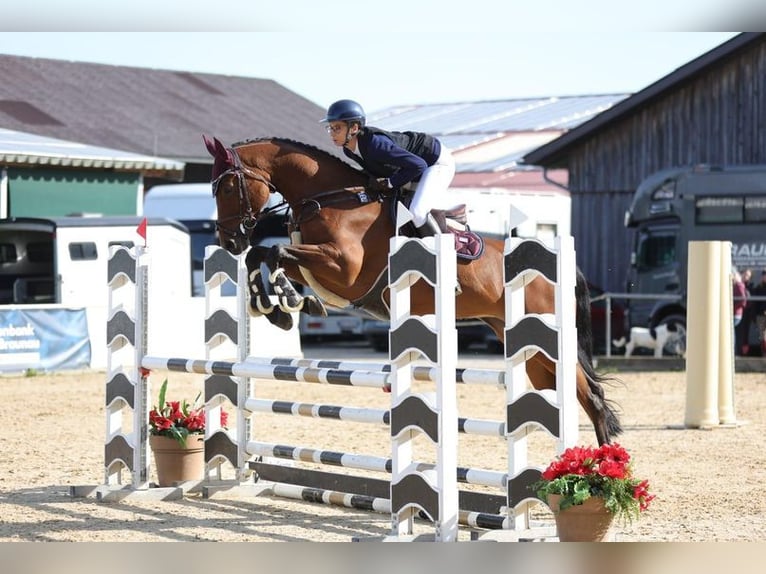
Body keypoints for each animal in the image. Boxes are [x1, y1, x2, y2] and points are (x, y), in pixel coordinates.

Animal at [201, 136, 620, 450]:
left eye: (227, 186)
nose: (228, 240)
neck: (332, 199)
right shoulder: (315, 264)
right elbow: (263, 255)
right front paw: (278, 305)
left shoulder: (343, 268)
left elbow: (274, 252)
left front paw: (286, 302)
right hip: (522, 343)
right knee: (563, 397)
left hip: (548, 338)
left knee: (592, 399)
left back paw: (600, 475)